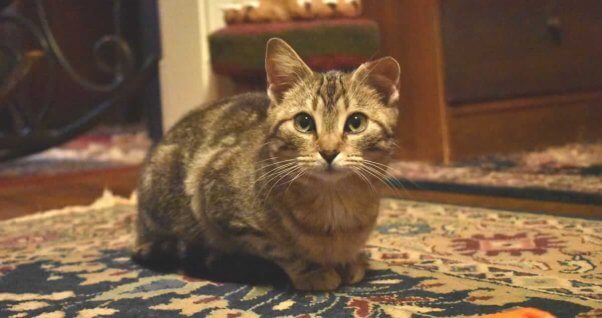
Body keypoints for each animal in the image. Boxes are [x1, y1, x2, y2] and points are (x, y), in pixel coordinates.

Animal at [134, 38, 400, 290]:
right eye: (304, 122)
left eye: (356, 122)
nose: (329, 151)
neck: (334, 208)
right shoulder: (217, 204)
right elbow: (280, 250)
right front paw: (312, 271)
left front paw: (349, 262)